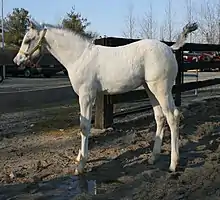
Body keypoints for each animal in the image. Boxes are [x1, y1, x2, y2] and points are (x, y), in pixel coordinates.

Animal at [13, 19, 198, 174]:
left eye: (28, 40)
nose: (17, 60)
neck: (78, 57)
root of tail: (170, 48)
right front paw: (79, 158)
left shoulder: (86, 95)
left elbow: (84, 126)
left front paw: (81, 165)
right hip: (149, 89)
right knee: (160, 117)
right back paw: (153, 157)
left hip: (161, 89)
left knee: (172, 116)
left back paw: (173, 164)